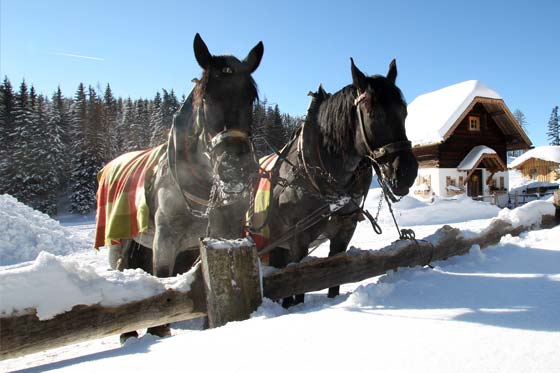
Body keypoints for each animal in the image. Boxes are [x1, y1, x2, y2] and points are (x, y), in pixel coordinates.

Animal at [96, 33, 262, 338]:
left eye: (251, 97)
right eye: (205, 97)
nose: (236, 170)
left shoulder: (223, 234)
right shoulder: (165, 240)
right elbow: (163, 288)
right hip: (118, 239)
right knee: (120, 268)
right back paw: (128, 334)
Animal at [256, 58, 418, 306]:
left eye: (404, 111)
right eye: (372, 113)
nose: (407, 172)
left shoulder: (344, 232)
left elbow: (335, 279)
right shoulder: (298, 240)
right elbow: (299, 287)